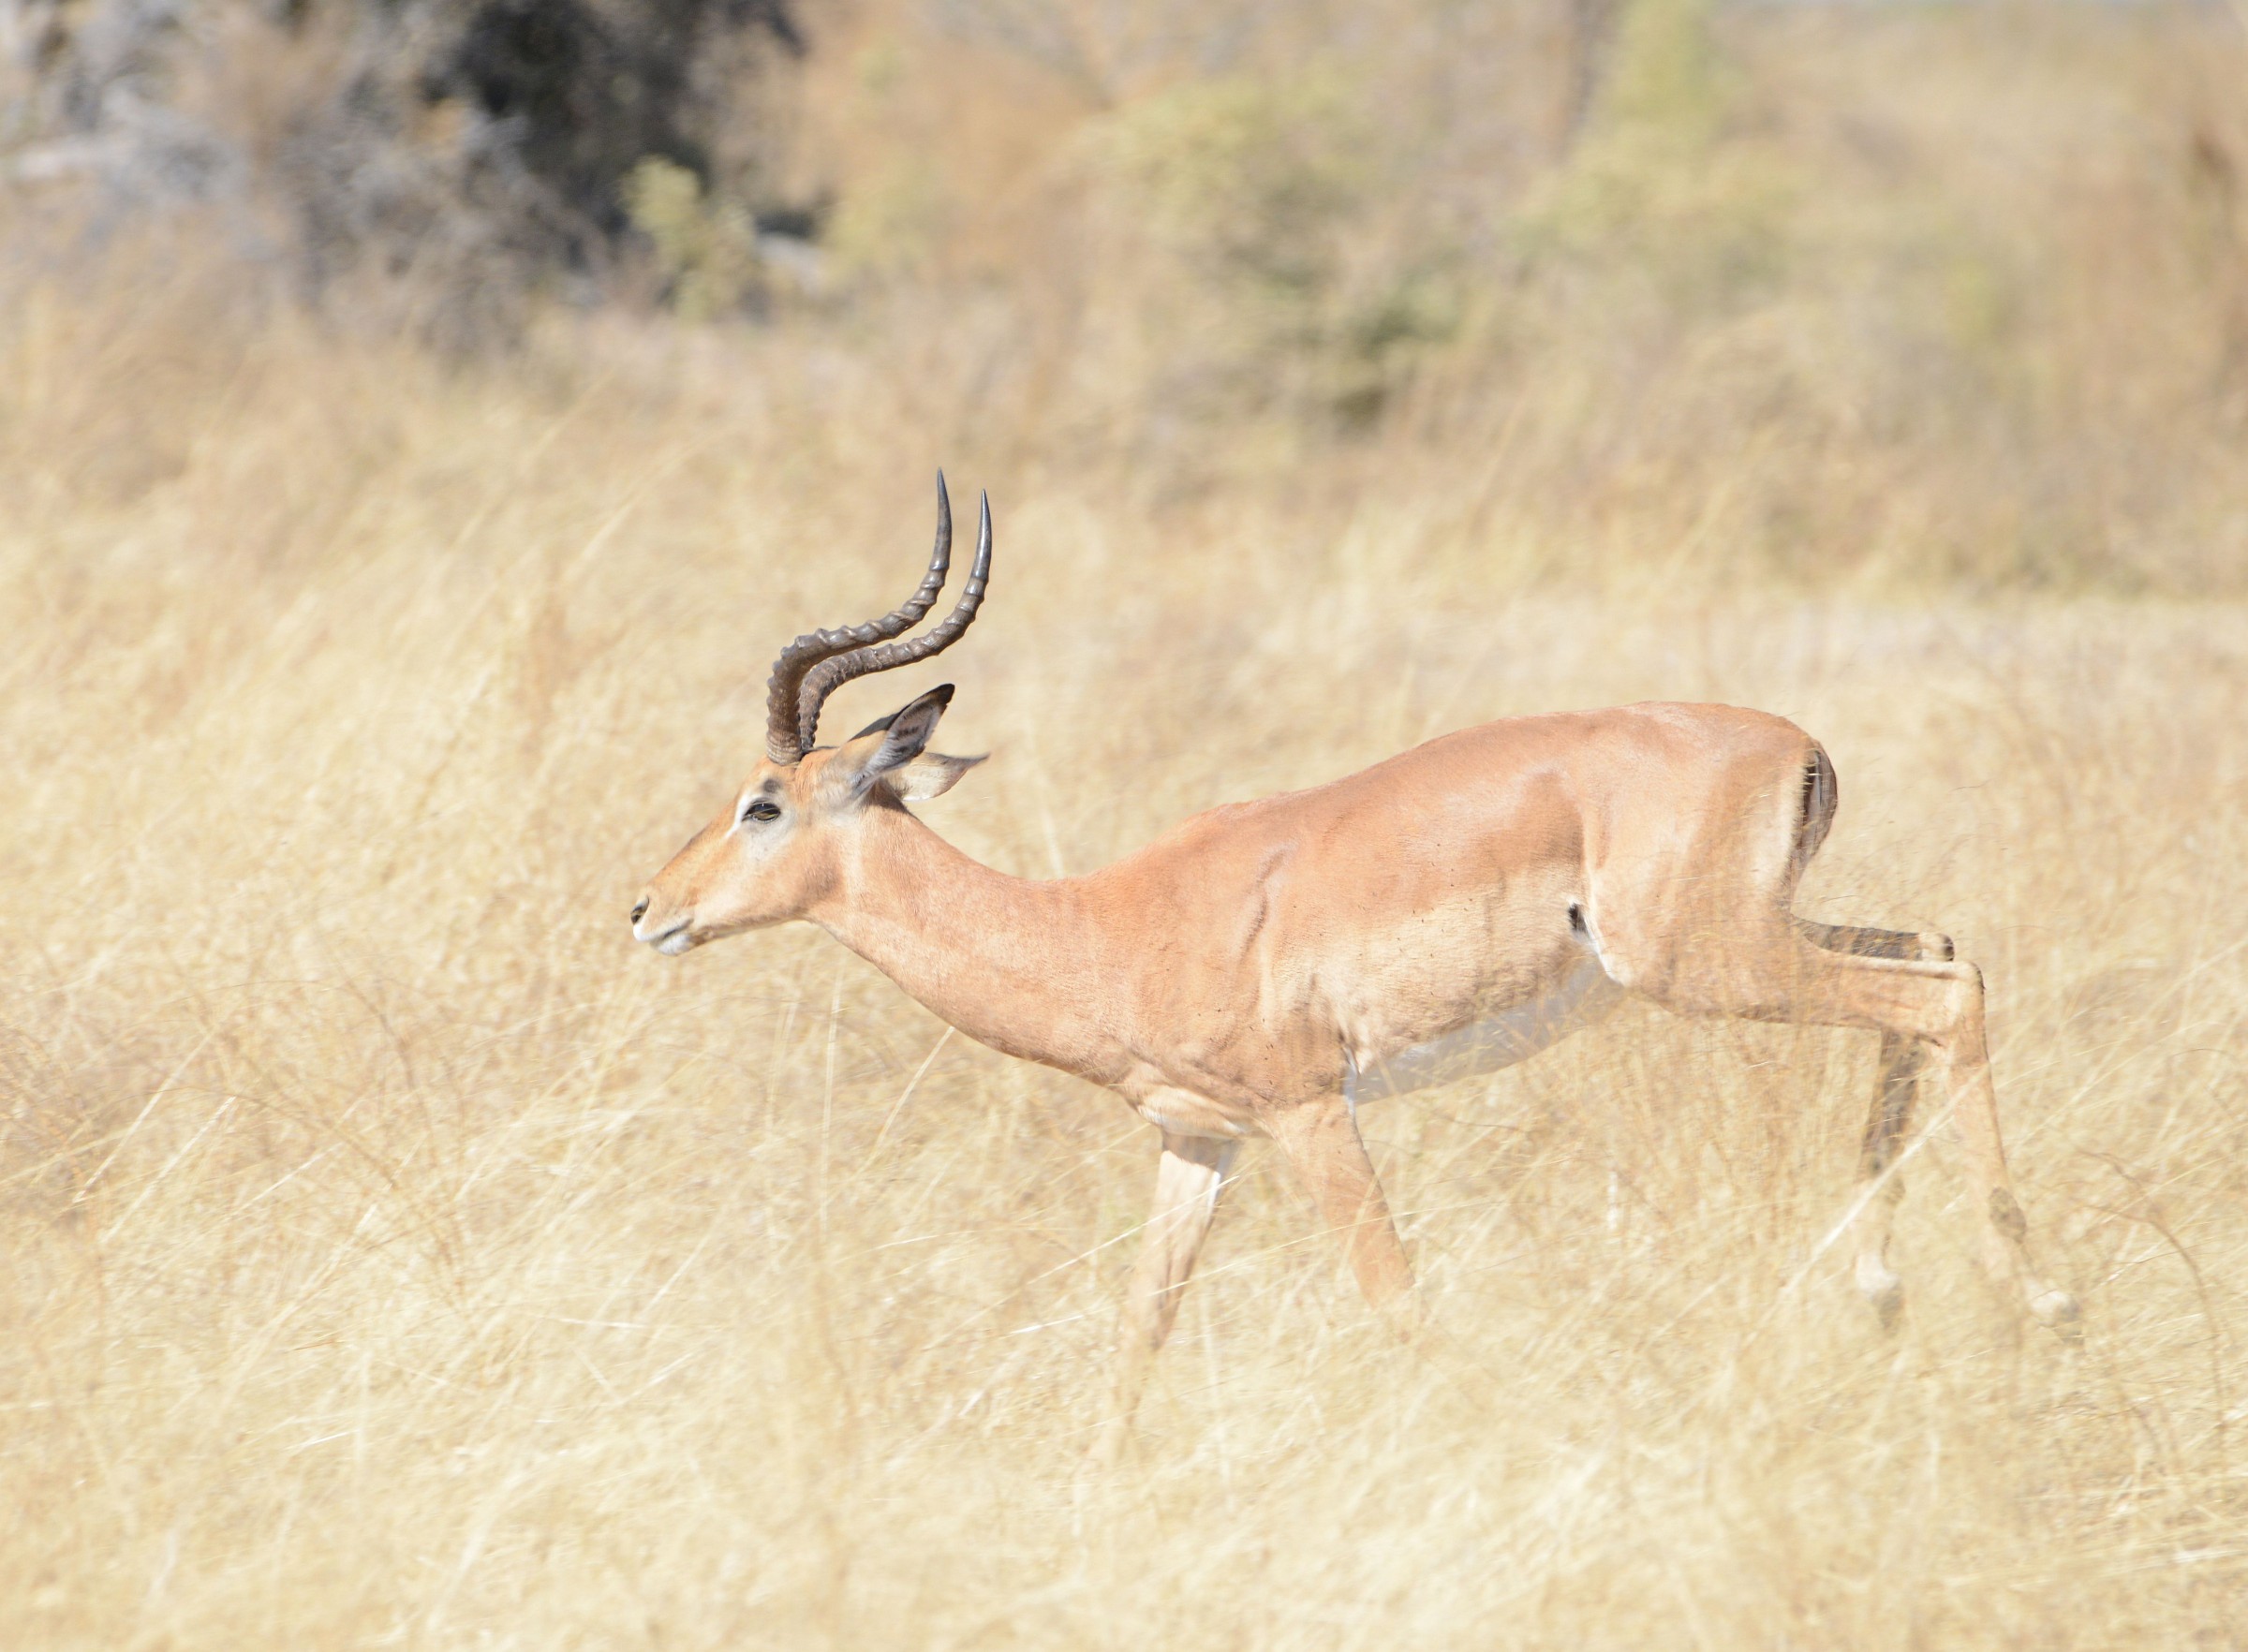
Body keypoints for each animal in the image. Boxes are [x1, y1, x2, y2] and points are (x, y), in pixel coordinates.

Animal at [632, 479, 2080, 1448]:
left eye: (764, 802)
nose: (649, 908)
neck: (1104, 925)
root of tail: (1798, 742)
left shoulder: (1309, 1113)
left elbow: (1394, 1296)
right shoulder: (1198, 1139)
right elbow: (1141, 1326)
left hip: (1705, 964)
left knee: (1943, 992)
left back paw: (2041, 1298)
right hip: (1759, 941)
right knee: (1936, 956)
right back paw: (1889, 1288)